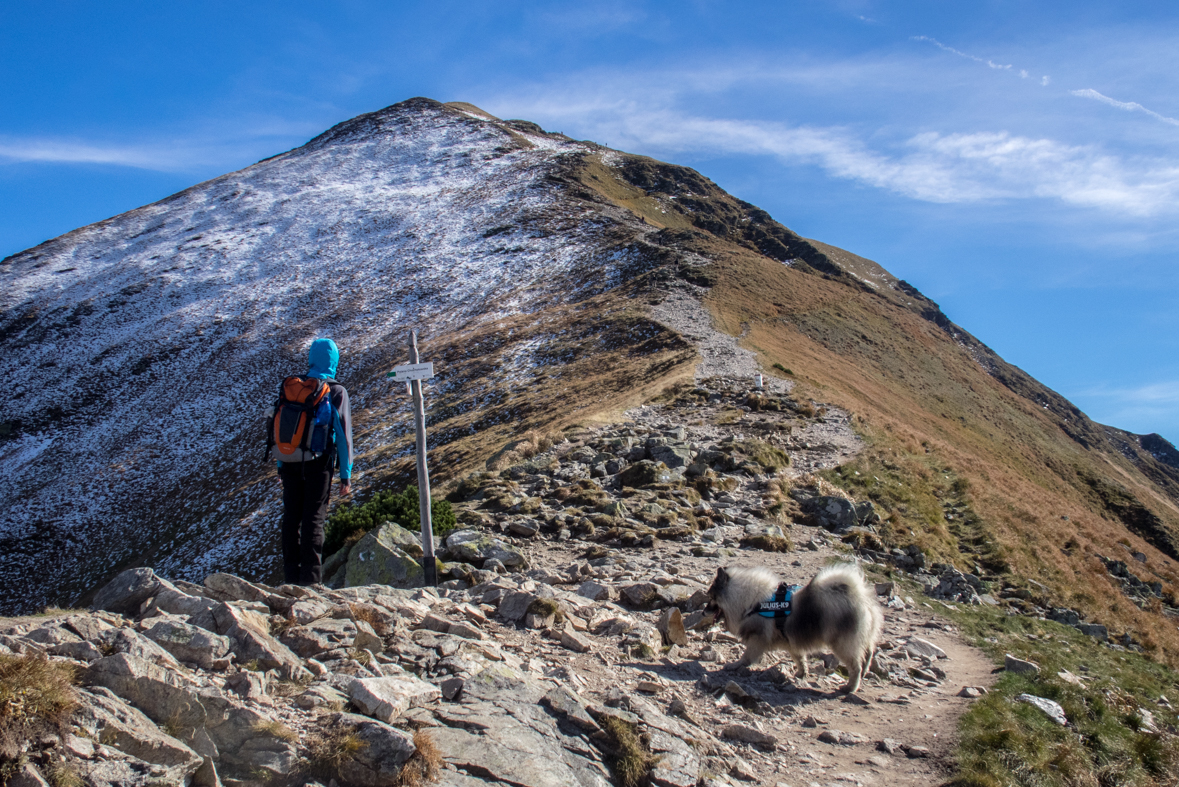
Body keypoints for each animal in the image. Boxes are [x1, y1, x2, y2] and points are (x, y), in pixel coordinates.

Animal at [702, 563, 881, 692]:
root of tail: (860, 598)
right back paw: (864, 673)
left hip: (842, 644)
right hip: (864, 639)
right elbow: (799, 659)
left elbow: (747, 656)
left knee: (855, 666)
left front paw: (735, 665)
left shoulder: (757, 638)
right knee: (868, 654)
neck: (751, 602)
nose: (703, 612)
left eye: (711, 598)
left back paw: (850, 687)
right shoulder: (791, 643)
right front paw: (802, 673)